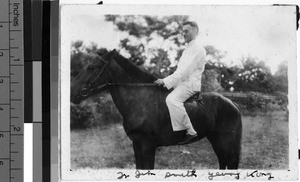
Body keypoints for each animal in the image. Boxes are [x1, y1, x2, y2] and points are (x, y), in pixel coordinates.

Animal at [70, 49, 241, 169]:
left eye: (91, 67)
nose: (71, 92)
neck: (141, 101)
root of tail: (232, 104)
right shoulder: (136, 144)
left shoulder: (148, 146)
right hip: (216, 140)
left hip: (225, 141)